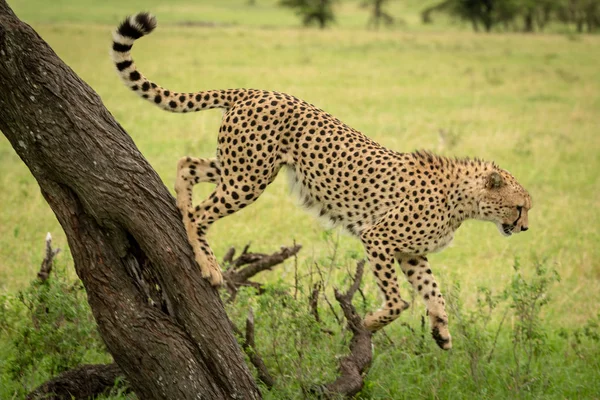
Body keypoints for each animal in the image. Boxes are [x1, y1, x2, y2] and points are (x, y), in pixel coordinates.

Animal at [110, 13, 532, 350]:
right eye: (519, 207)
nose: (525, 228)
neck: (463, 200)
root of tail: (256, 90)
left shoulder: (412, 254)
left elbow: (434, 292)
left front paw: (442, 332)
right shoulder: (378, 238)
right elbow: (399, 300)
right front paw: (369, 323)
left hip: (244, 166)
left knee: (187, 163)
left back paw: (180, 205)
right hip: (249, 176)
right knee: (201, 213)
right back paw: (208, 265)